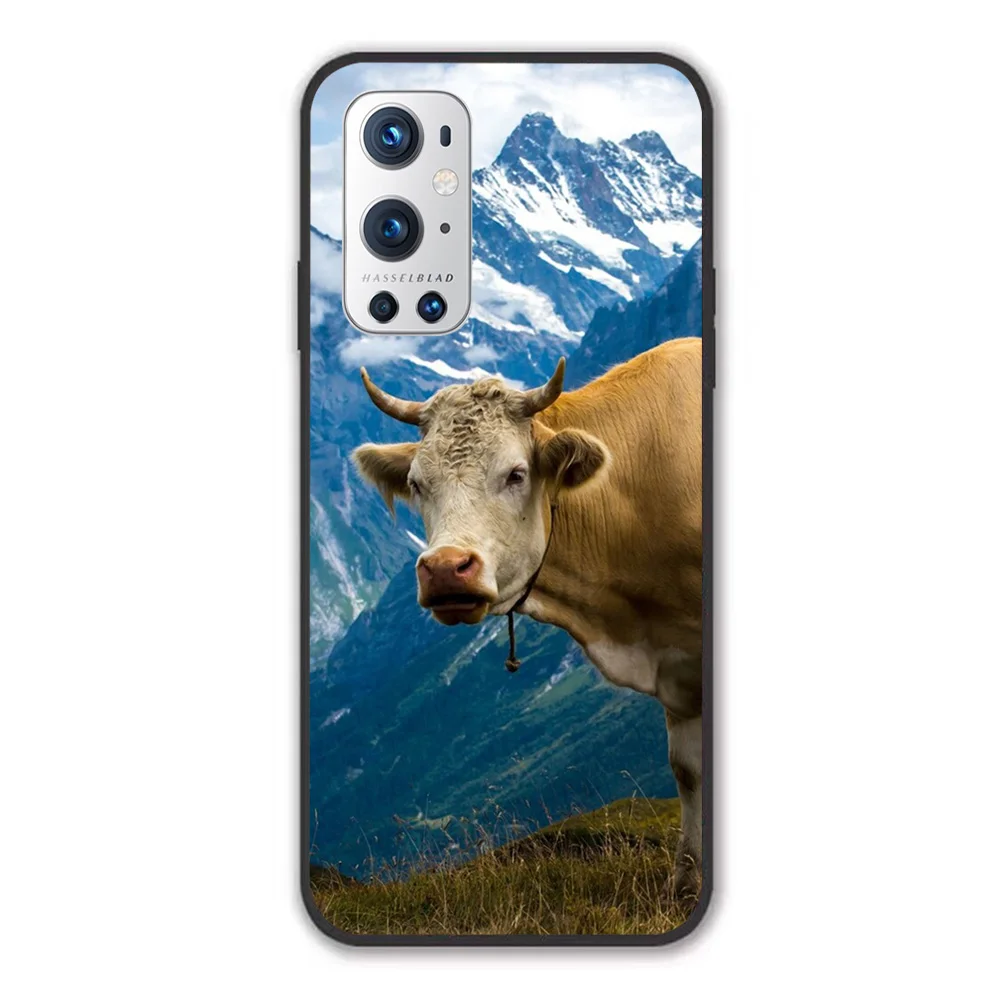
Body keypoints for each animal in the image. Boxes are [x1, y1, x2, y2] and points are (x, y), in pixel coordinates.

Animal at [352, 337, 704, 895]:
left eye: (516, 473)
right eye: (417, 483)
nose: (446, 570)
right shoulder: (677, 665)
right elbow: (687, 770)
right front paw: (686, 884)